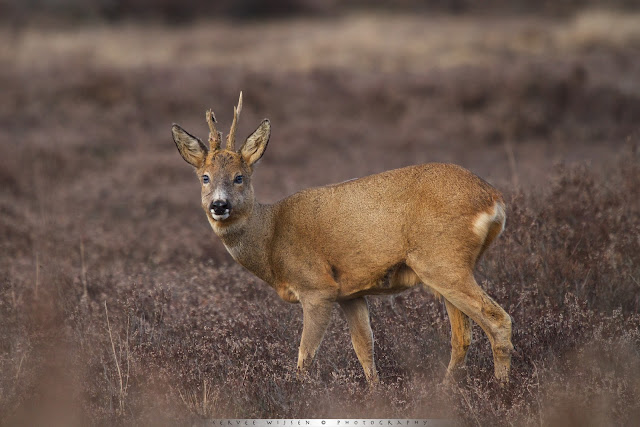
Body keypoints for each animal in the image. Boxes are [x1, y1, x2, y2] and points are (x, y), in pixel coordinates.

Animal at [172, 93, 512, 384]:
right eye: (205, 178)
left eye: (239, 177)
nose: (219, 205)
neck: (271, 238)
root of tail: (494, 199)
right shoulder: (351, 293)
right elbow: (365, 349)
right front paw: (375, 395)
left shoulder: (317, 288)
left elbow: (305, 356)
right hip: (446, 269)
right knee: (462, 336)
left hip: (442, 260)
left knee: (498, 320)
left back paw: (501, 390)